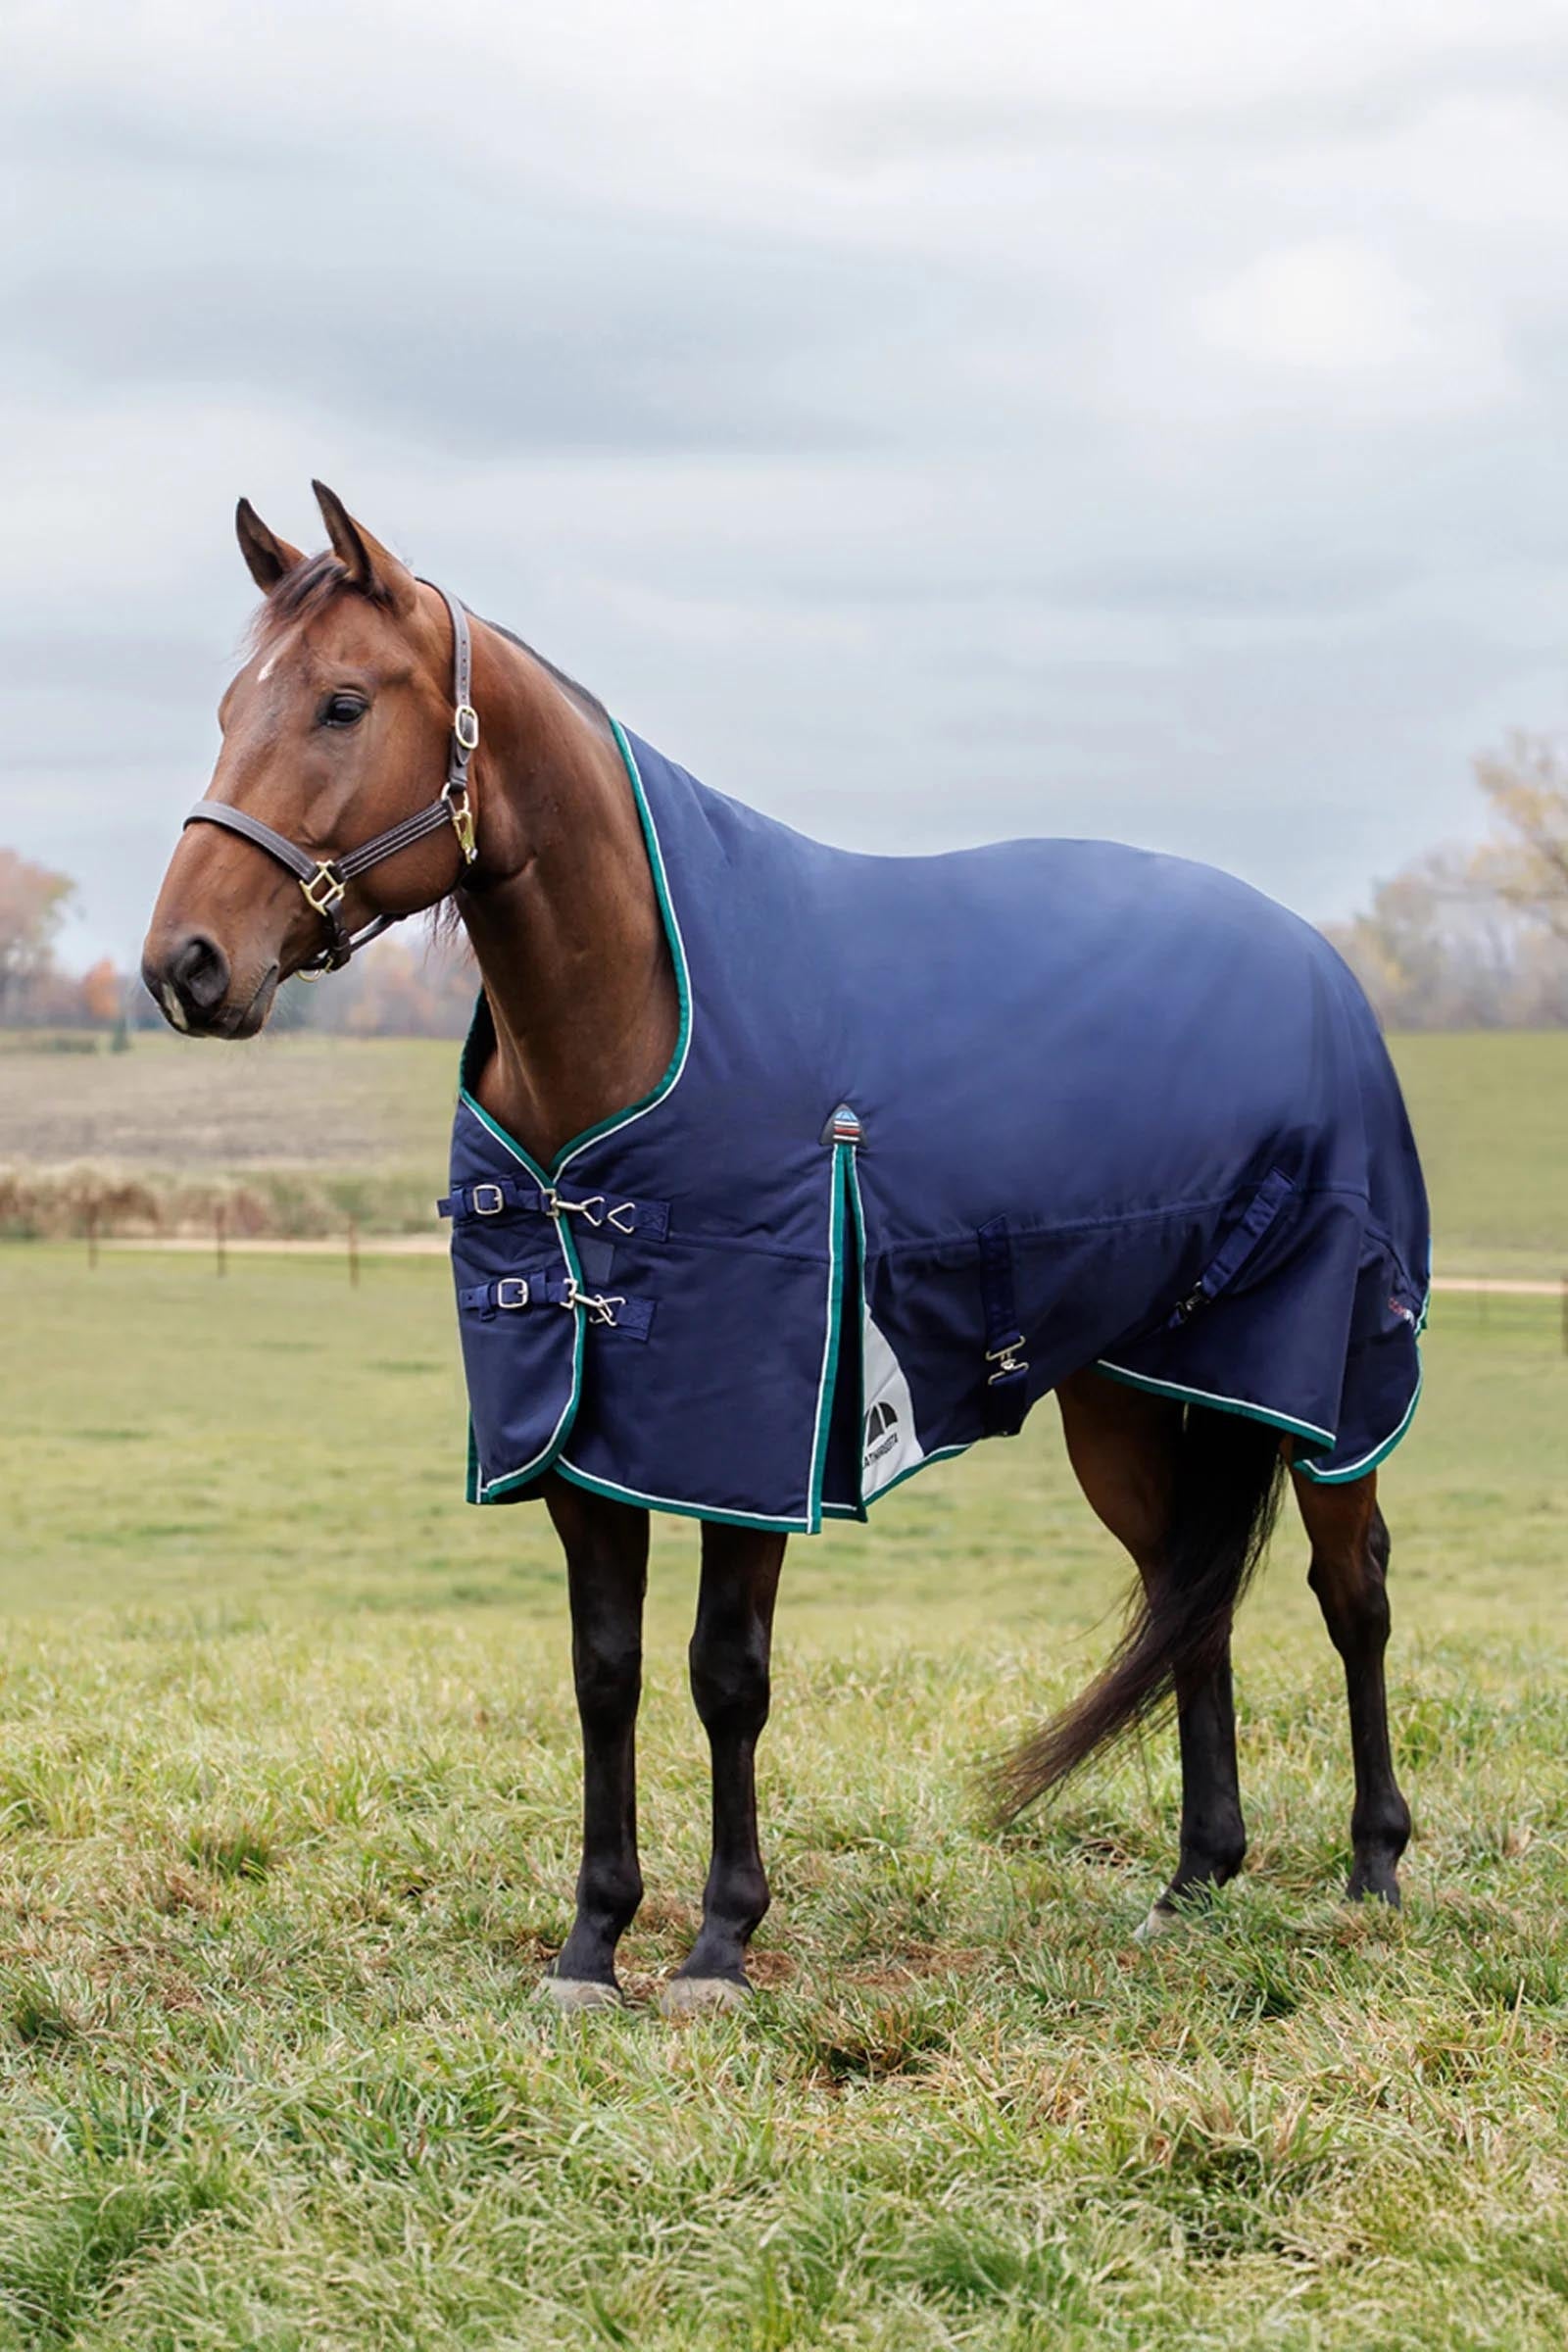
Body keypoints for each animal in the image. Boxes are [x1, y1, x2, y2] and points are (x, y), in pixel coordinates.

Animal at [143, 484, 1421, 2013]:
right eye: (230, 705)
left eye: (341, 701)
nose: (185, 964)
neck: (638, 1012)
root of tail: (1316, 962)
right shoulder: (585, 1436)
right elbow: (607, 1671)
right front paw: (591, 1943)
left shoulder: (747, 1437)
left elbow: (724, 1674)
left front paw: (718, 1942)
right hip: (1128, 1392)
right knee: (1192, 1594)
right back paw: (1194, 1880)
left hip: (1327, 1384)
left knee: (1351, 1588)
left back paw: (1373, 1868)